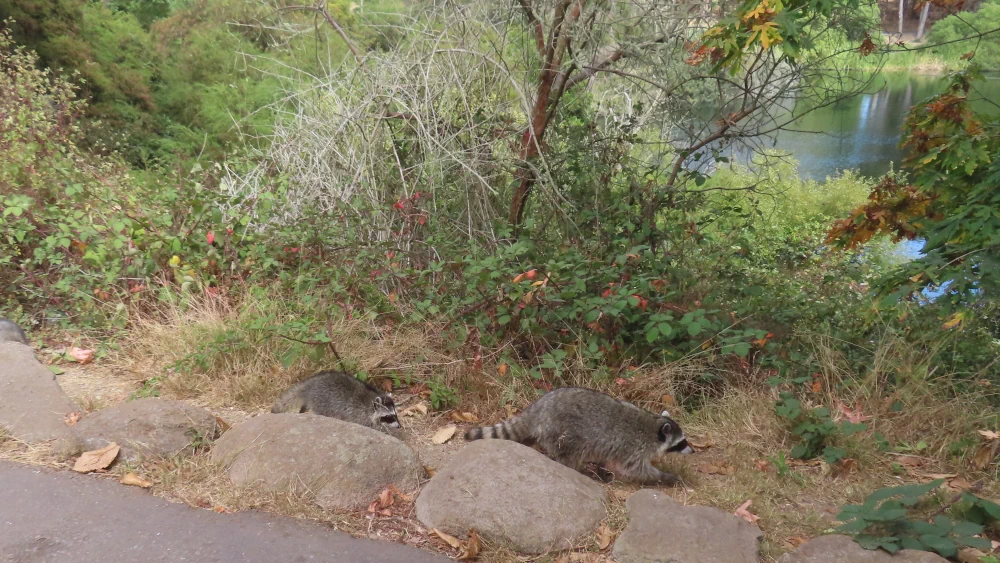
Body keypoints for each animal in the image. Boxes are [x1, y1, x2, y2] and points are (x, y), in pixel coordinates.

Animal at [274, 372, 402, 434]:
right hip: (321, 401)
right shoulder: (358, 414)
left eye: (395, 414)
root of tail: (311, 383)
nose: (399, 427)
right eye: (388, 416)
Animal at [462, 388, 692, 484]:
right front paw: (664, 477)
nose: (692, 450)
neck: (654, 425)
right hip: (562, 432)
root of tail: (539, 408)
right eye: (681, 443)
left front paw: (603, 470)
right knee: (568, 455)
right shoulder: (634, 447)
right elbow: (636, 469)